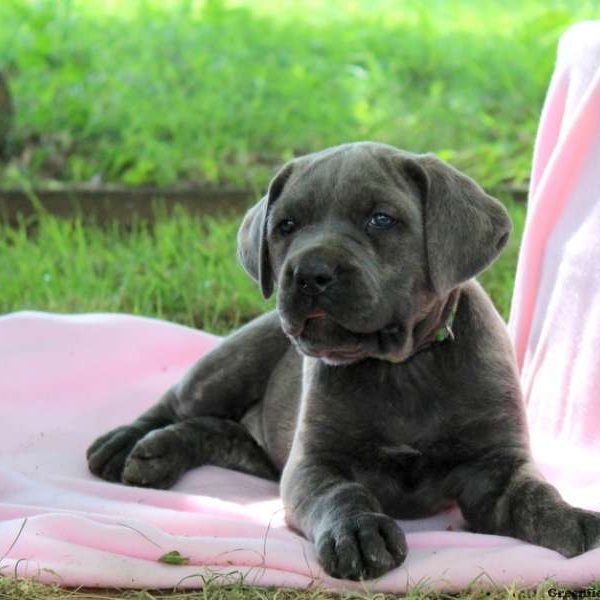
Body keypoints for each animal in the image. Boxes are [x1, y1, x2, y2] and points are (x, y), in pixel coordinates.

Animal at [85, 143, 600, 580]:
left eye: (381, 219)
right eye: (286, 226)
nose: (309, 274)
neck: (401, 365)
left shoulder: (495, 467)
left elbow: (534, 494)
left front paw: (572, 518)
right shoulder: (314, 463)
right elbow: (342, 492)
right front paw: (358, 532)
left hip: (259, 448)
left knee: (219, 432)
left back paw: (159, 452)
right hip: (231, 363)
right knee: (178, 405)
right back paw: (127, 444)